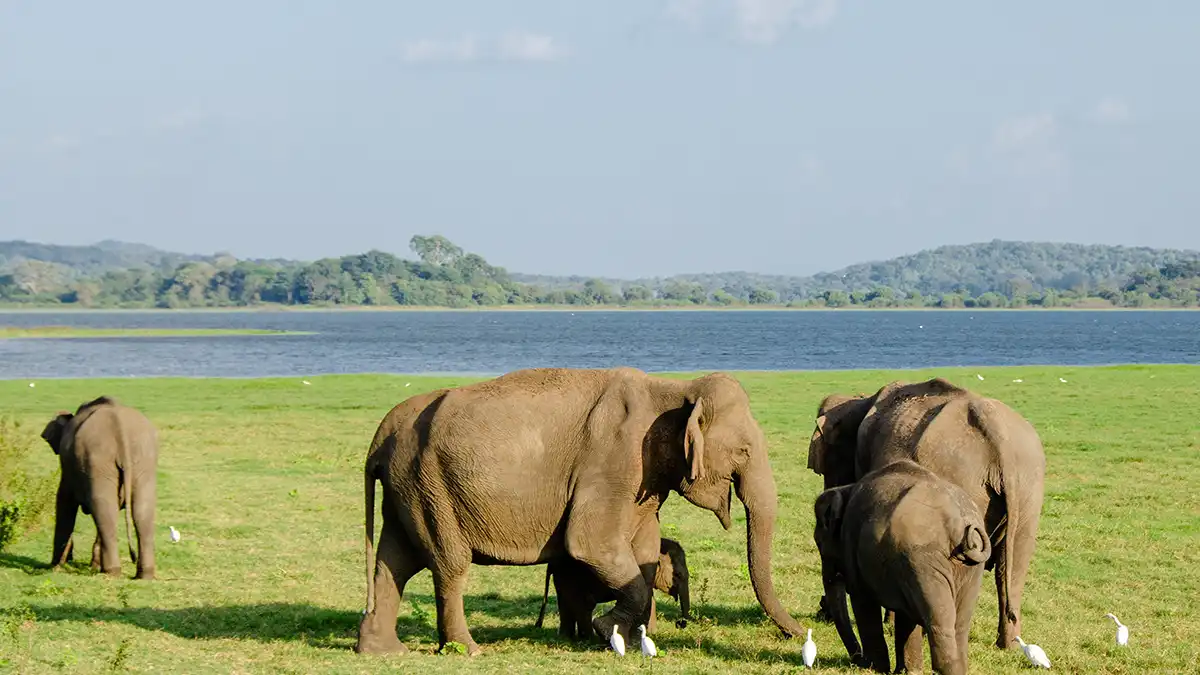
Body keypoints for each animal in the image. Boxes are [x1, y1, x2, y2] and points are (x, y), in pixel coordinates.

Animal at [40, 396, 158, 580]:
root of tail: (120, 427)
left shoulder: (68, 470)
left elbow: (64, 501)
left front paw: (56, 566)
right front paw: (92, 565)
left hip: (98, 460)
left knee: (104, 508)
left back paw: (111, 572)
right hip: (144, 461)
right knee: (140, 511)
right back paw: (143, 575)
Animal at [534, 536, 691, 639]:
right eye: (677, 575)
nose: (680, 623)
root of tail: (551, 563)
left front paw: (650, 633)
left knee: (566, 603)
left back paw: (567, 638)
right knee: (583, 604)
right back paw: (588, 639)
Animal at [806, 377, 1045, 650]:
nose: (821, 612)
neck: (860, 399)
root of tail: (997, 432)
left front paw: (891, 623)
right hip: (1029, 487)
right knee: (1012, 565)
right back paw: (1009, 645)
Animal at [814, 459, 992, 675]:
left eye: (819, 543)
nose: (857, 660)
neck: (847, 489)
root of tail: (960, 522)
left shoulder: (852, 545)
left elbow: (862, 601)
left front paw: (875, 669)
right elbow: (906, 615)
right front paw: (907, 671)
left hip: (924, 559)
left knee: (939, 618)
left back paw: (945, 669)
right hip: (968, 569)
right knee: (960, 623)